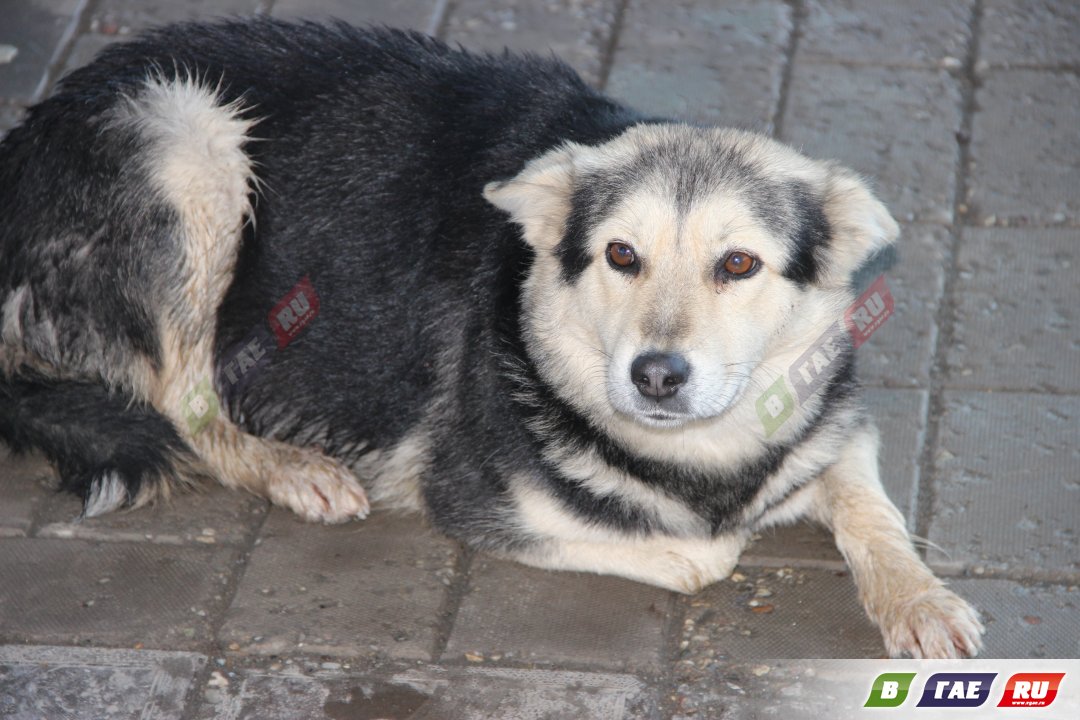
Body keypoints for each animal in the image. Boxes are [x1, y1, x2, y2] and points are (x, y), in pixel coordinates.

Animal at [0, 18, 980, 660]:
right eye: (622, 254)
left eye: (738, 265)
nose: (657, 377)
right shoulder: (481, 498)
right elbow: (707, 555)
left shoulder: (837, 420)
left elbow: (872, 508)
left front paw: (920, 598)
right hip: (185, 132)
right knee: (184, 398)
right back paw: (288, 466)